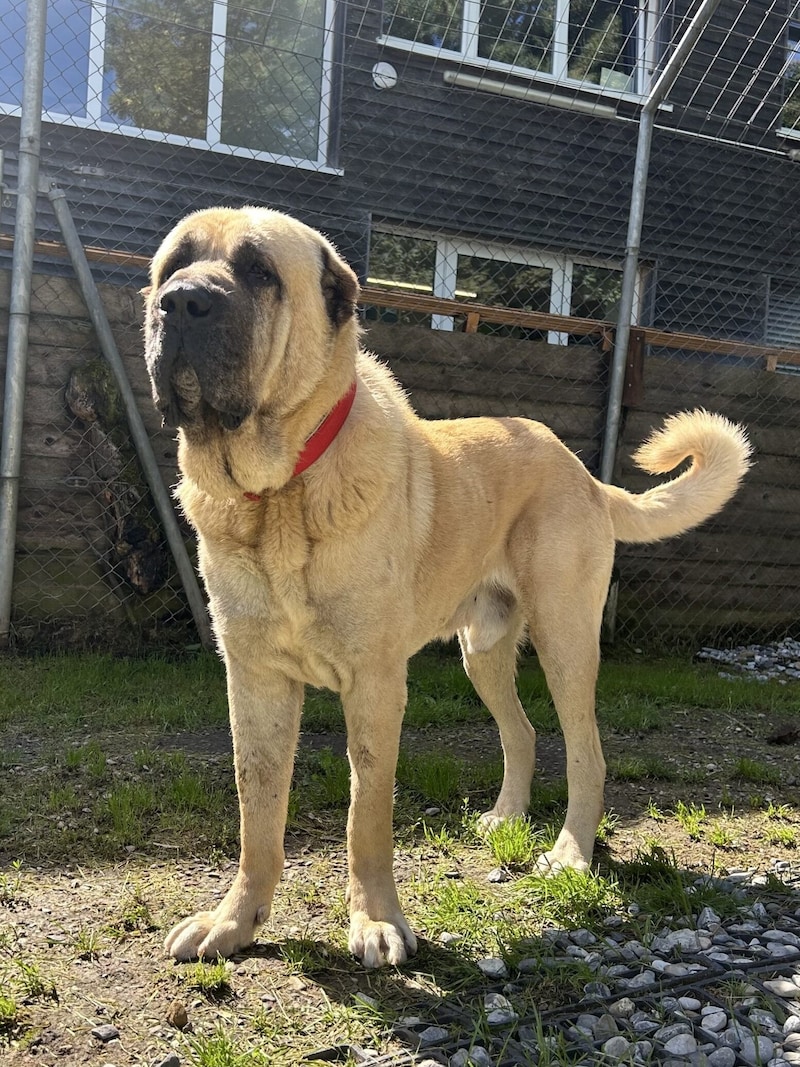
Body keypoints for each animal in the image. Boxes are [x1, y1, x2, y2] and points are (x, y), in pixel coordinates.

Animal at [144, 205, 750, 968]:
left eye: (259, 271)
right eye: (172, 266)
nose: (181, 302)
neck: (280, 493)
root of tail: (581, 472)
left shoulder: (375, 686)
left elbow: (366, 817)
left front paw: (376, 920)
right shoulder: (255, 682)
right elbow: (258, 815)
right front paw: (234, 921)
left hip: (565, 642)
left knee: (587, 753)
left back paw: (570, 852)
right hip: (481, 652)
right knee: (522, 733)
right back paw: (507, 817)